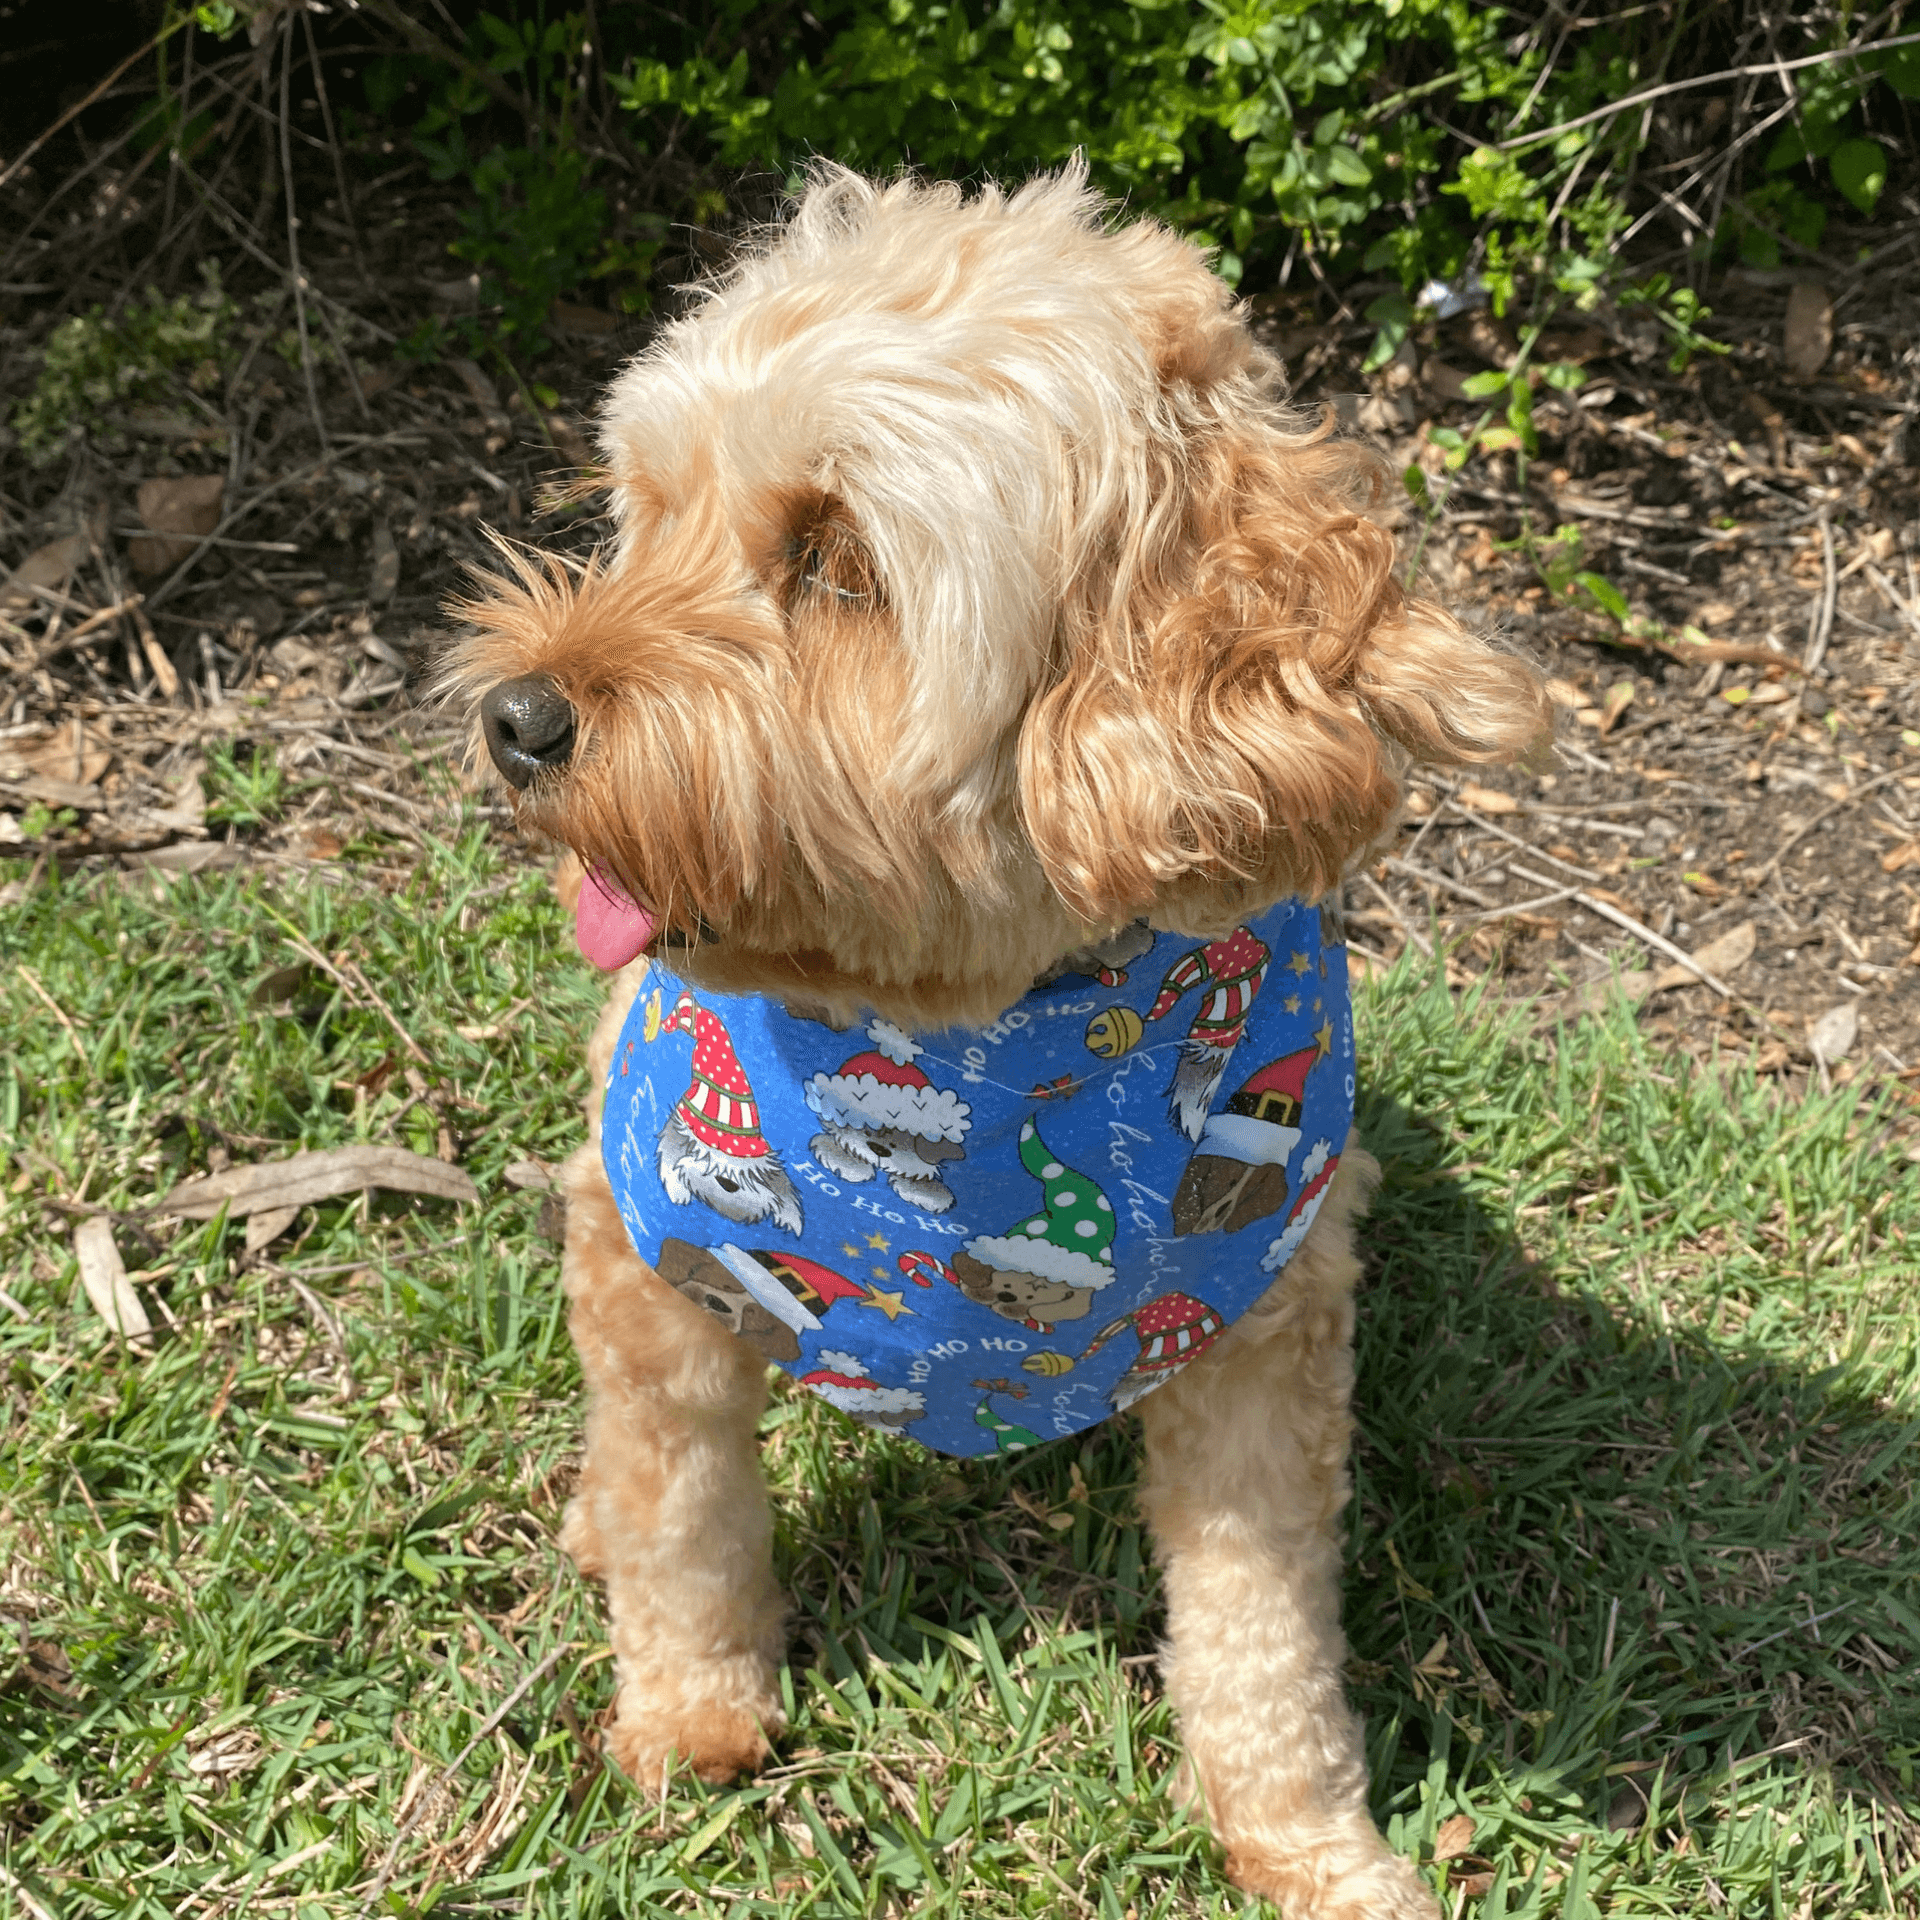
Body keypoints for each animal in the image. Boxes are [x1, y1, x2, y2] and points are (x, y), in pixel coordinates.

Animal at [456, 168, 1551, 1920]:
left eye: (835, 558)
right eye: (650, 508)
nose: (517, 719)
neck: (975, 1042)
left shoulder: (1263, 1341)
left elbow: (1263, 1631)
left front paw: (1311, 1844)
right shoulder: (649, 1269)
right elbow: (687, 1516)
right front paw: (690, 1717)